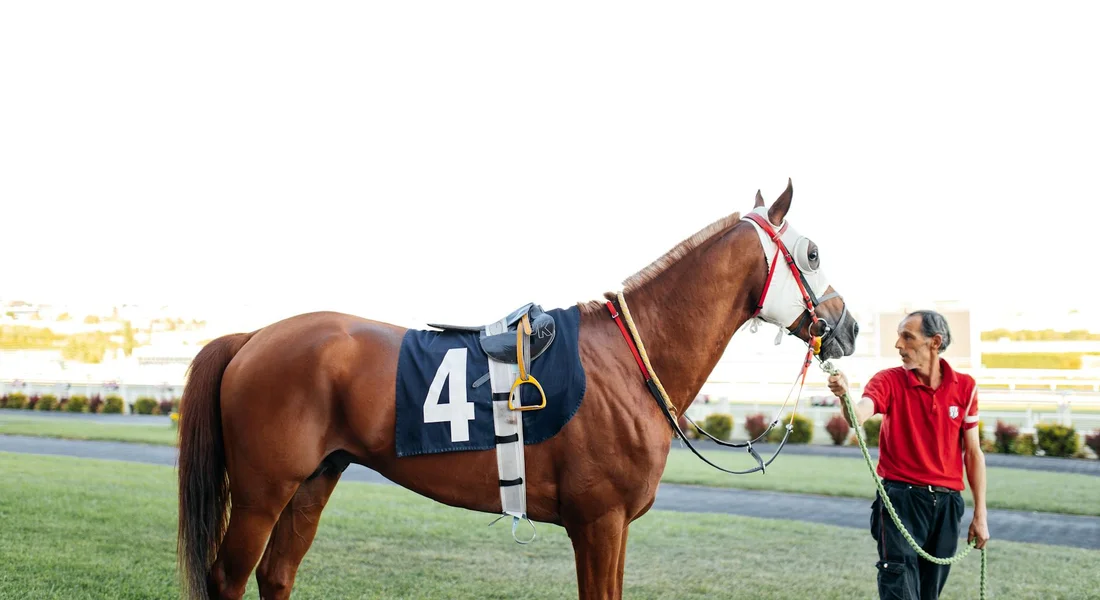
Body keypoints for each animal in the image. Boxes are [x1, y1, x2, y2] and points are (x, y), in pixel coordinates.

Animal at [176, 179, 860, 600]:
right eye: (813, 252)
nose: (847, 325)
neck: (628, 361)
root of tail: (252, 337)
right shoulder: (598, 522)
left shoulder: (614, 527)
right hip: (262, 493)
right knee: (228, 579)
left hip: (315, 480)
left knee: (277, 576)